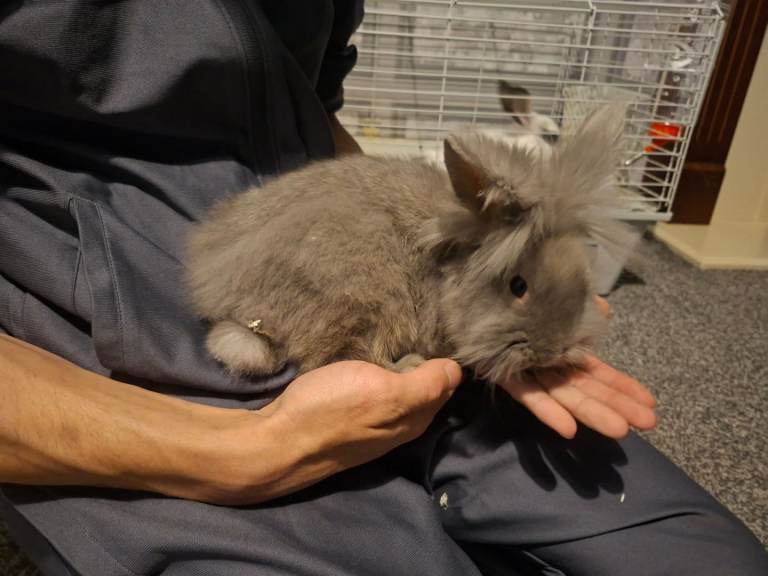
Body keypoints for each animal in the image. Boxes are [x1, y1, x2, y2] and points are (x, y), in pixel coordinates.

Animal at [185, 106, 630, 385]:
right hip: (367, 291)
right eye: (517, 286)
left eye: (584, 280)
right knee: (345, 352)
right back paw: (408, 367)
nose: (553, 350)